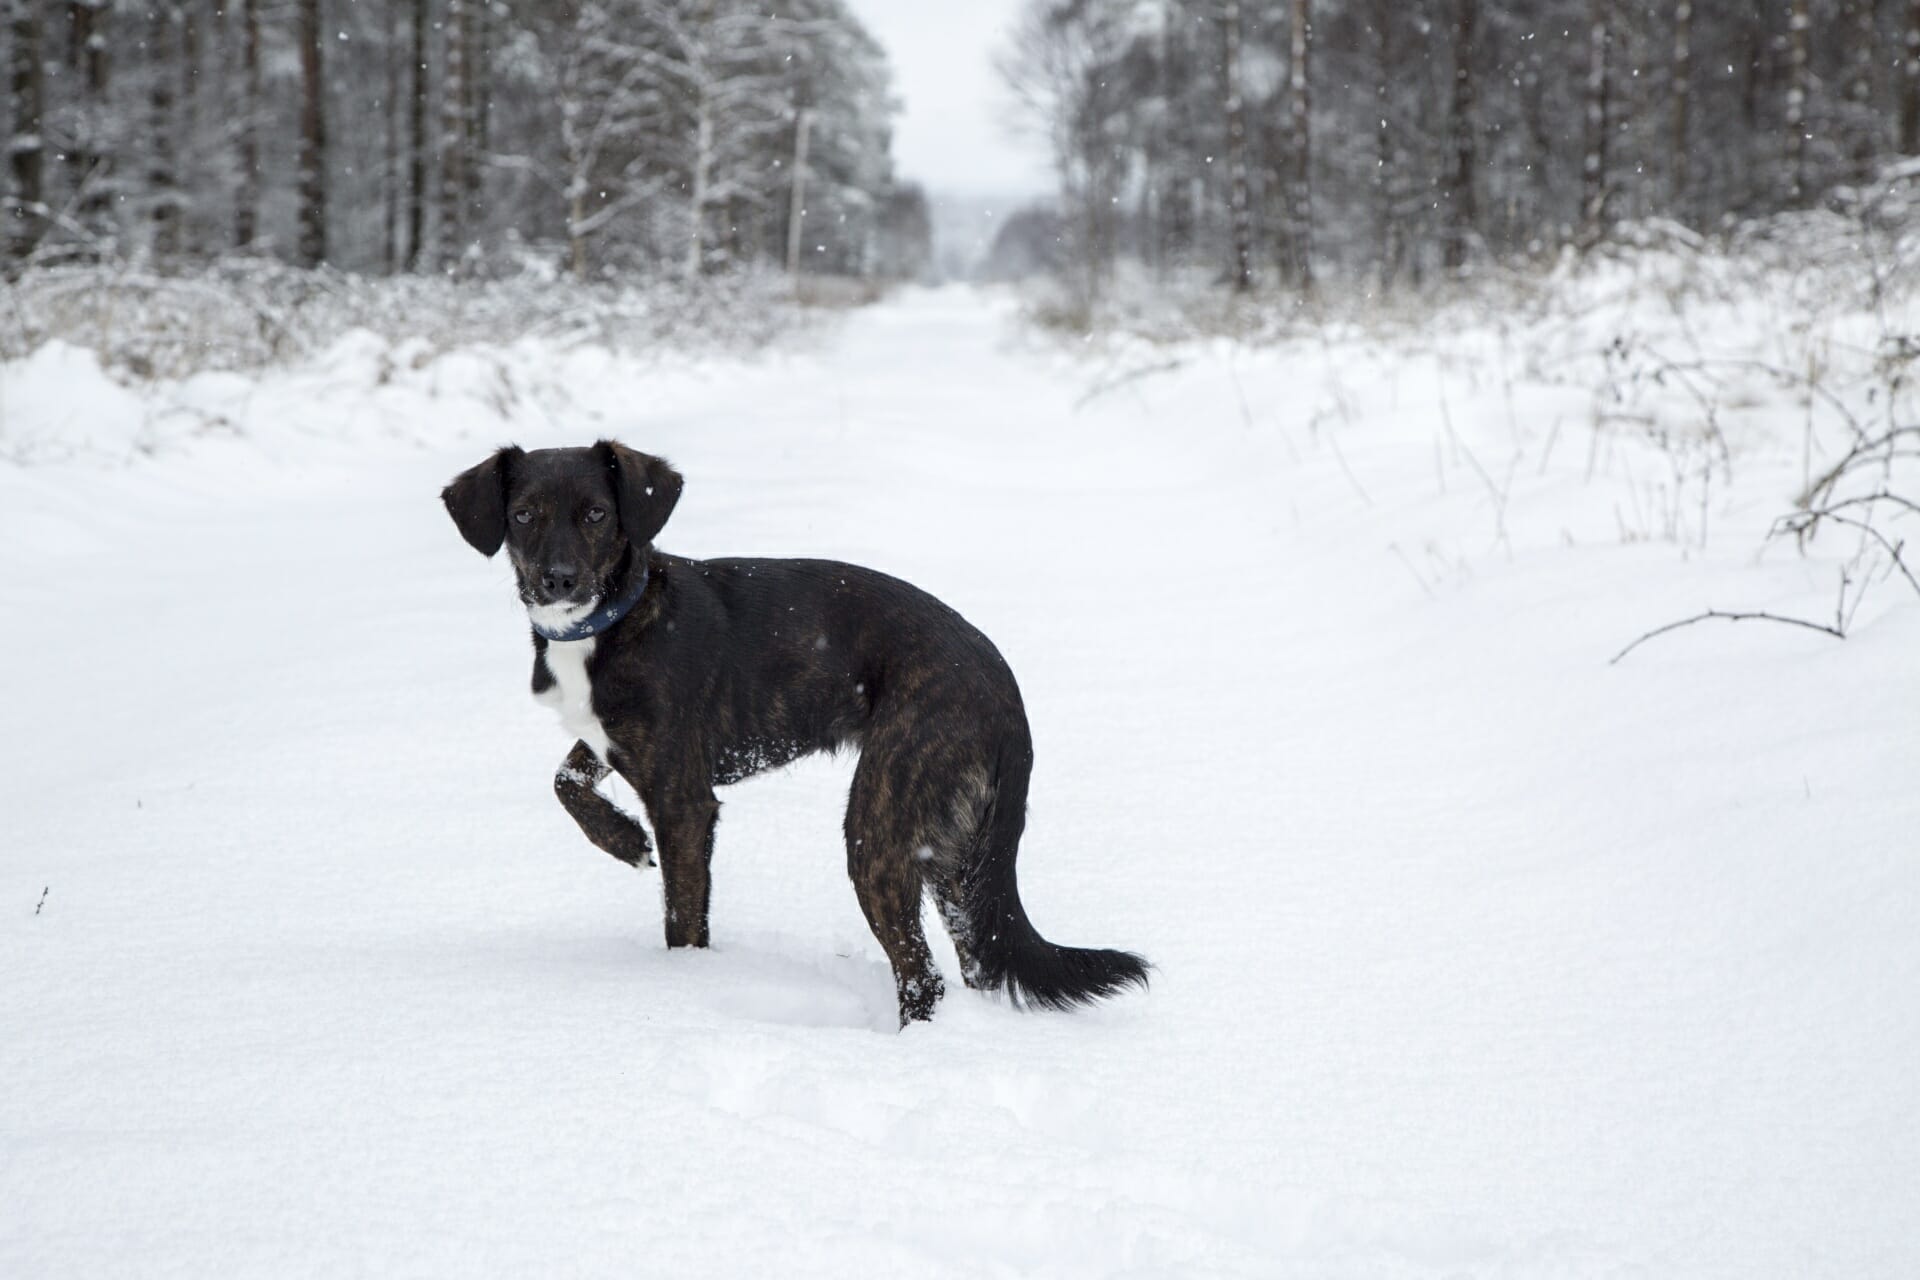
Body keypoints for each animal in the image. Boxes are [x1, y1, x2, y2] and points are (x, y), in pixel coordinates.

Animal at [441, 445, 1144, 1028]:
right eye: (523, 515)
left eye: (595, 513)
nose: (558, 579)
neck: (614, 617)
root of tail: (1004, 687)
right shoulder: (613, 745)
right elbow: (564, 779)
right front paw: (624, 840)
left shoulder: (683, 800)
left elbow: (681, 916)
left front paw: (680, 981)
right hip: (955, 851)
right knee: (975, 960)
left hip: (880, 824)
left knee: (922, 976)